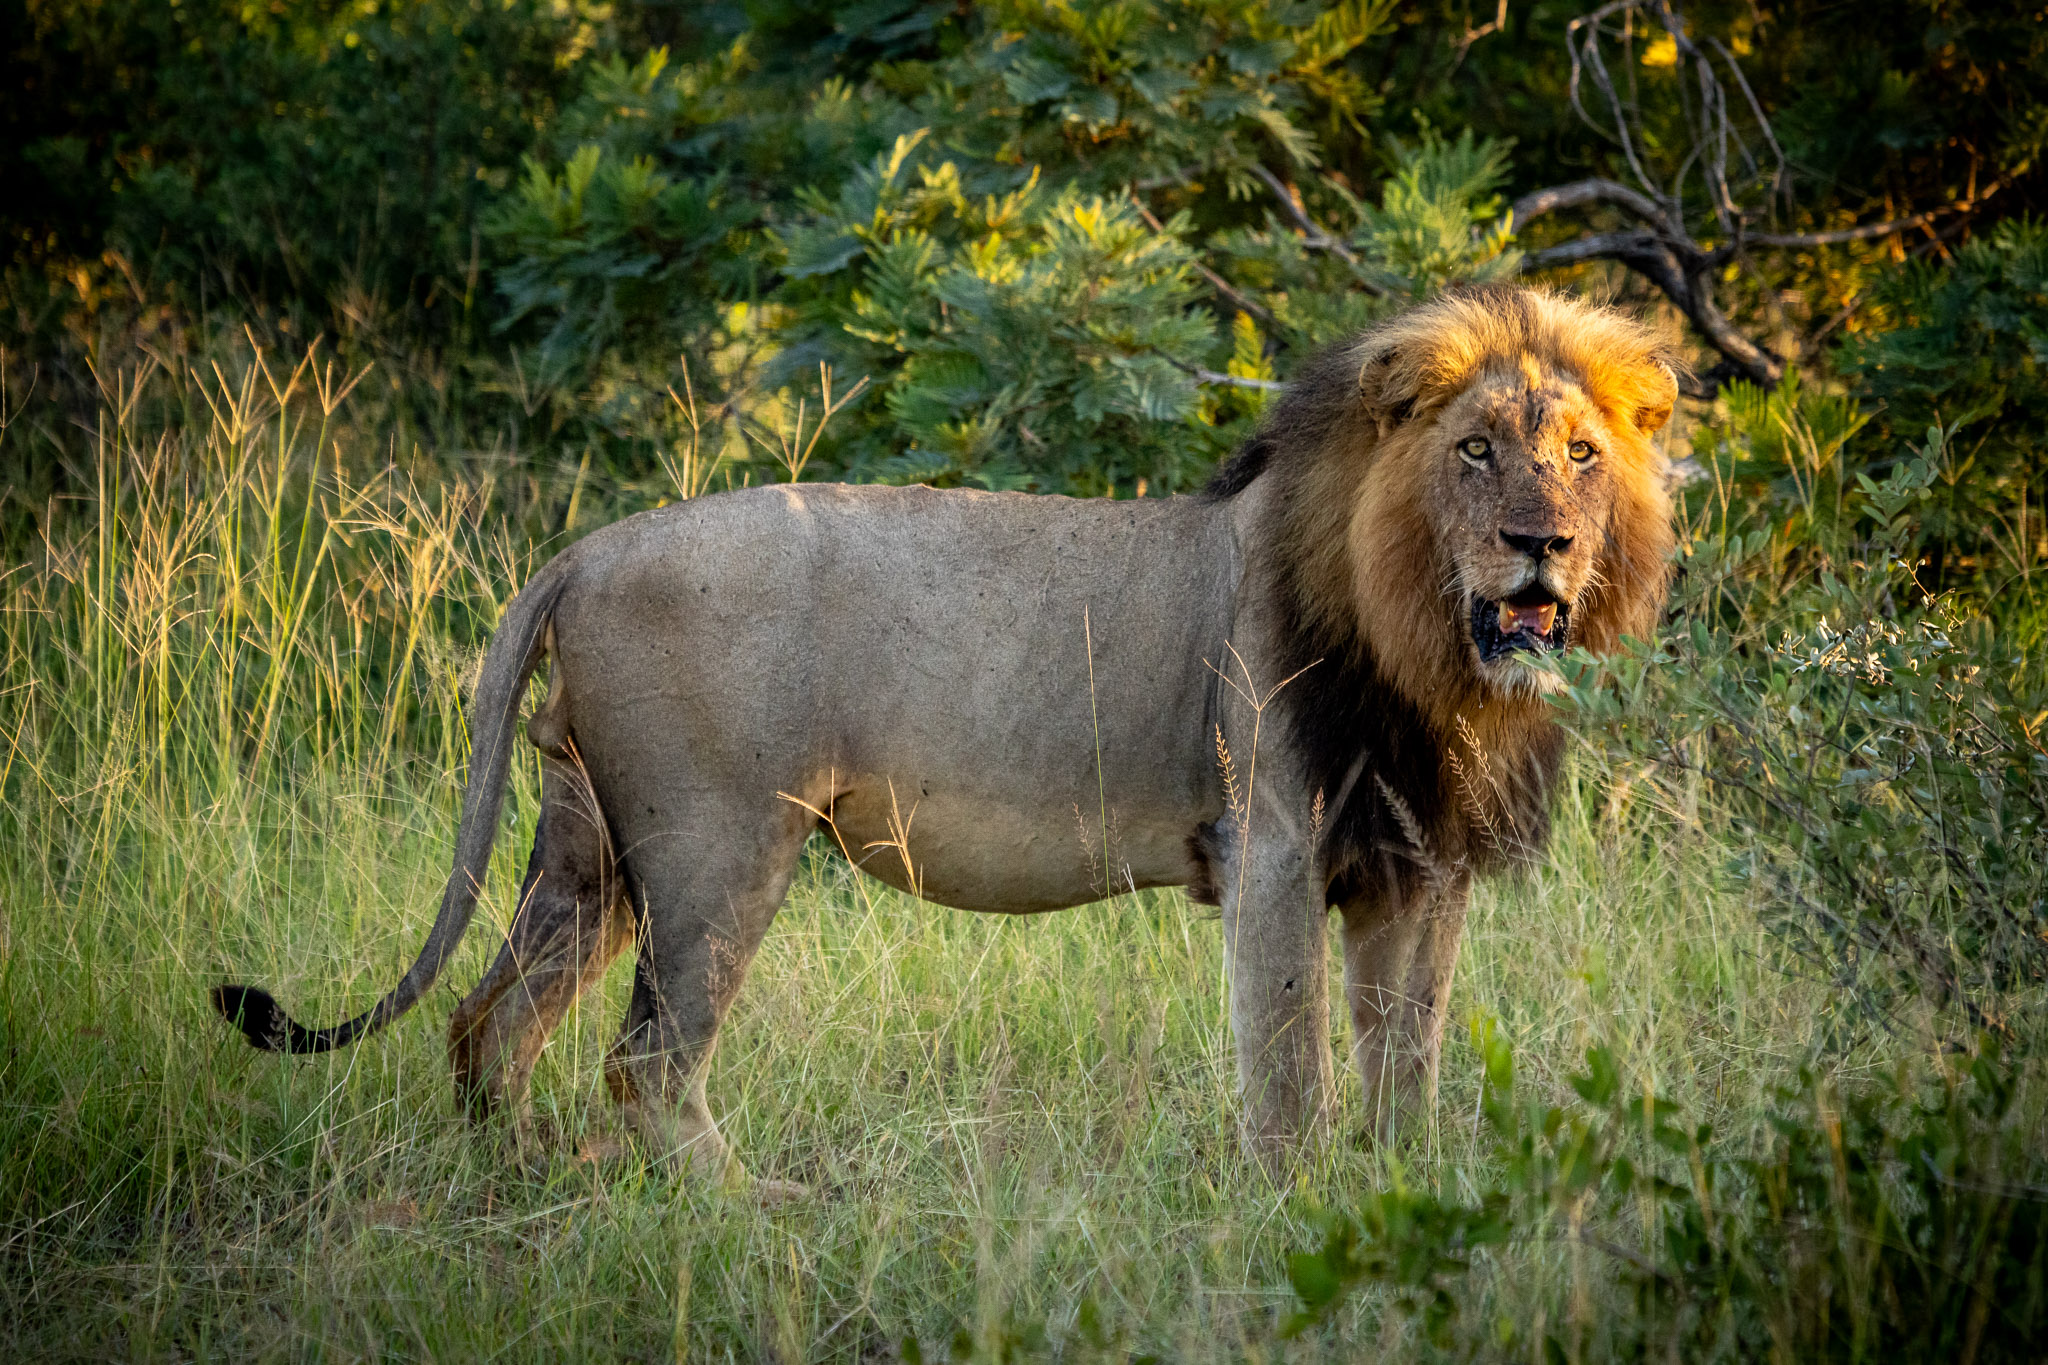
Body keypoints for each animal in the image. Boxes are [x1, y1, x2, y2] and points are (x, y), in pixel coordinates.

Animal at [211, 285, 1677, 1189]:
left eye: (1581, 453)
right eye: (1475, 449)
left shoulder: (1416, 866)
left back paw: (517, 1182)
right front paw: (1291, 1197)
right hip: (717, 847)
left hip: (587, 849)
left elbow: (1405, 1056)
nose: (1541, 544)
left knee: (490, 1022)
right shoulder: (1269, 839)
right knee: (643, 1063)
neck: (1433, 663)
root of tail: (586, 549)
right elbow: (1291, 1054)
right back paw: (755, 1207)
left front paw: (1403, 1190)